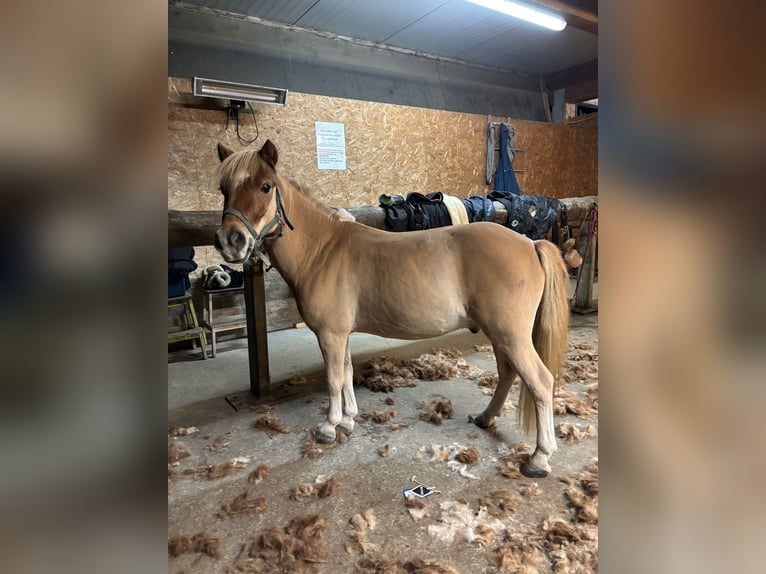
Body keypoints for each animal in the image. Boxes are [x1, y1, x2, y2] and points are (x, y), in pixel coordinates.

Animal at [213, 140, 570, 478]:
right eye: (224, 188)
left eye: (265, 186)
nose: (230, 241)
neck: (323, 250)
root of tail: (530, 244)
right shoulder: (341, 333)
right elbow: (346, 373)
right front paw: (348, 420)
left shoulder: (330, 334)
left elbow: (333, 378)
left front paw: (329, 427)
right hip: (501, 335)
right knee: (508, 373)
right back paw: (485, 418)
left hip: (511, 336)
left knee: (540, 382)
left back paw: (539, 458)